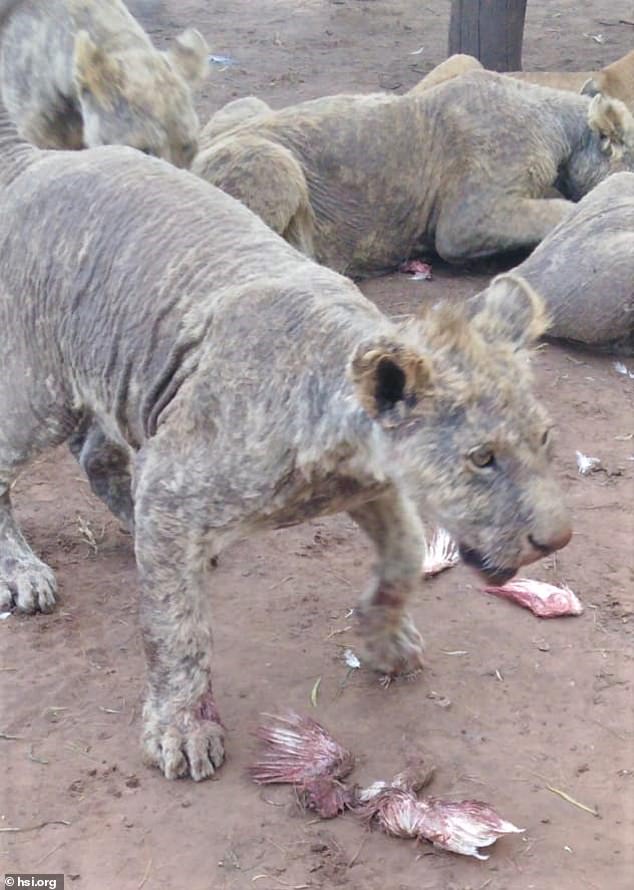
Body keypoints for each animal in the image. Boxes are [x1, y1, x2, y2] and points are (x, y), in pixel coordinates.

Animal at [1, 48, 572, 772]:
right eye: (481, 459)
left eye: (546, 440)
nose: (558, 539)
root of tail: (38, 160)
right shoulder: (179, 481)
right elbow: (177, 631)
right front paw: (182, 729)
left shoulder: (376, 489)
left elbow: (404, 559)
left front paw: (384, 640)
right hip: (37, 389)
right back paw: (23, 573)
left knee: (100, 455)